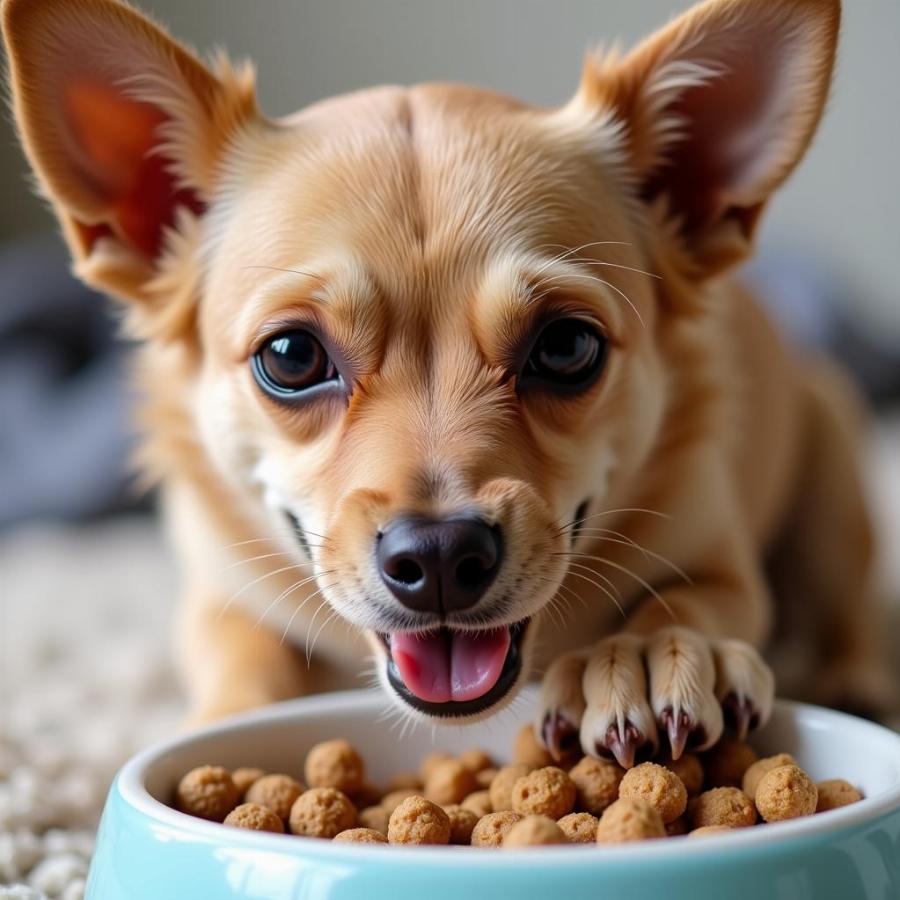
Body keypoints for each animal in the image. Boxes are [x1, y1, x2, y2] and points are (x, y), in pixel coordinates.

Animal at [1, 0, 884, 768]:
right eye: (290, 357)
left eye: (567, 345)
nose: (439, 554)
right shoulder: (220, 598)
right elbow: (246, 655)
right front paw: (230, 721)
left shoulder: (720, 559)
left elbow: (689, 597)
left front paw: (637, 652)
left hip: (833, 470)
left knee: (851, 607)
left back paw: (857, 676)